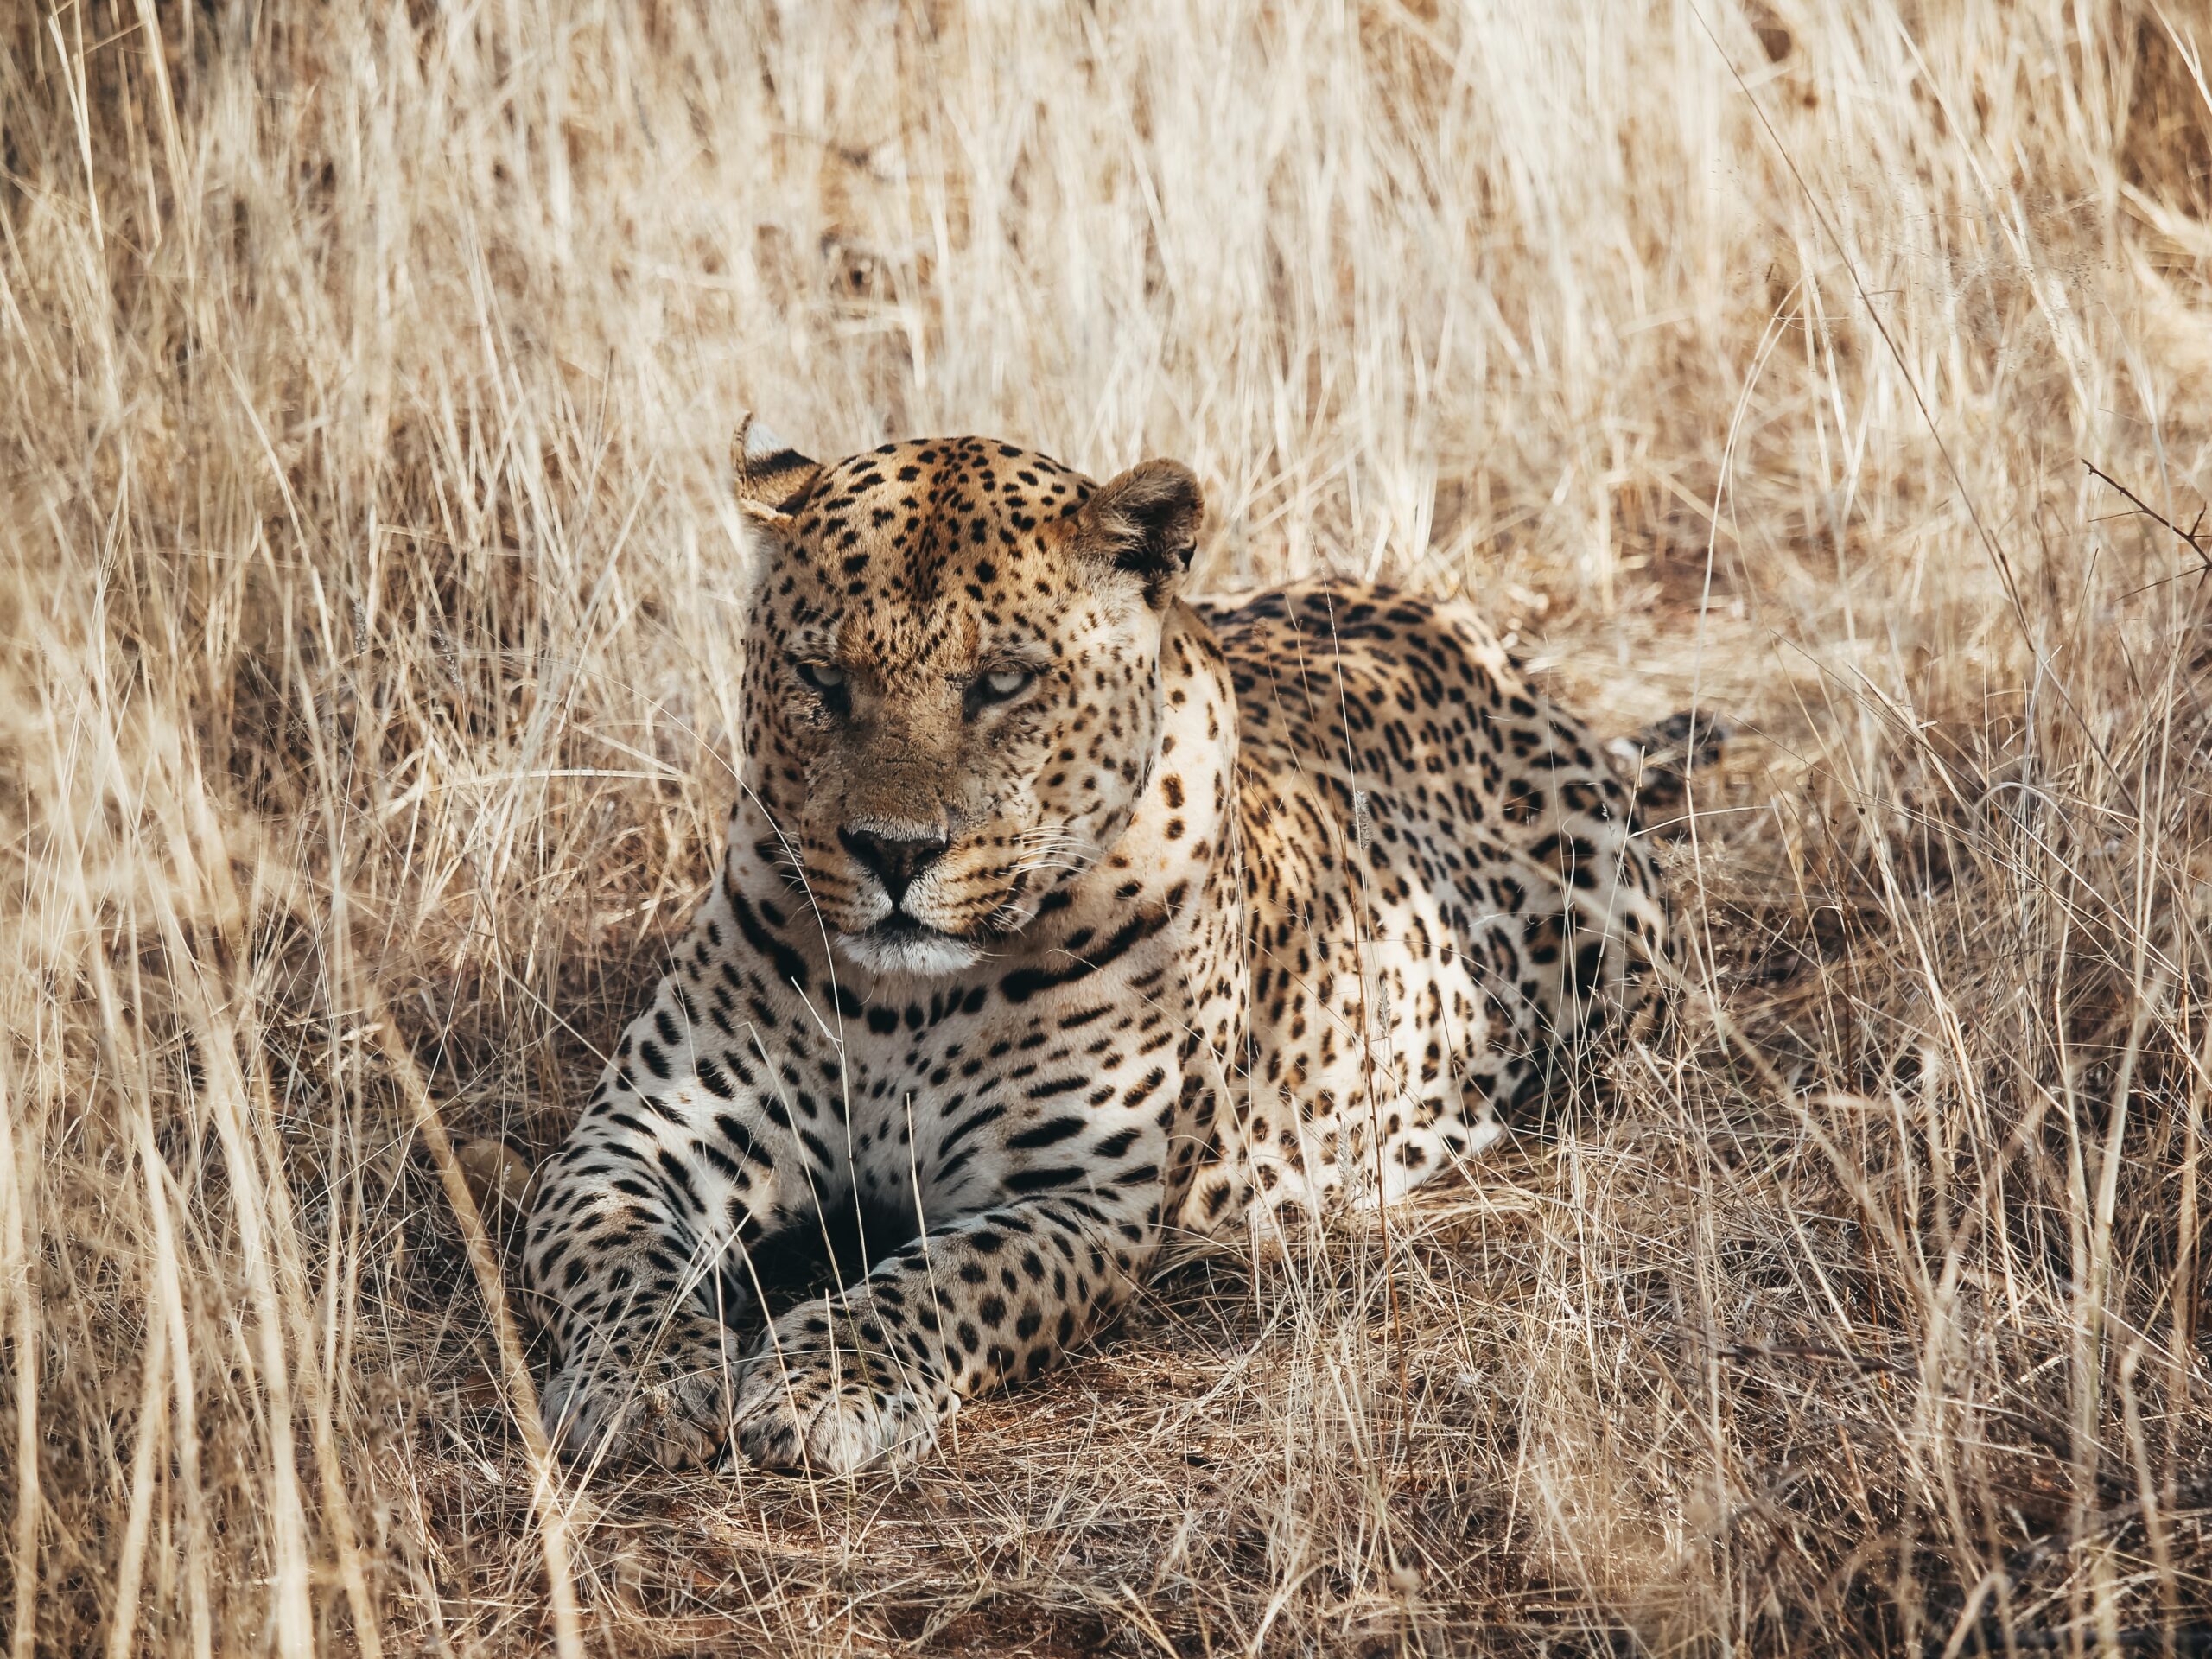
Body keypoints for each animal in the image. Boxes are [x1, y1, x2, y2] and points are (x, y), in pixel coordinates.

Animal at [519, 419, 1710, 1476]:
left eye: (1000, 684)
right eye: (820, 680)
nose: (893, 852)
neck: (905, 1008)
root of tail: (1468, 628)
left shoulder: (1082, 1197)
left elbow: (939, 1282)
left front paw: (824, 1387)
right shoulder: (638, 1135)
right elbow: (613, 1257)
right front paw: (641, 1383)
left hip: (1613, 935)